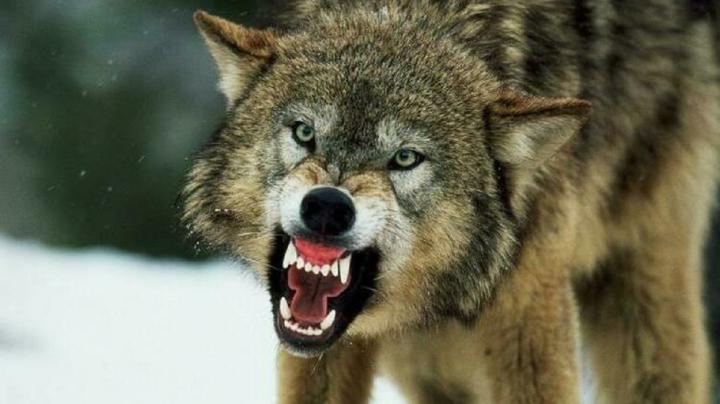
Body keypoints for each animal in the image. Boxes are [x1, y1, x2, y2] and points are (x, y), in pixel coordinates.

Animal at [182, 0, 720, 402]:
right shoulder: (320, 347)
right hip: (422, 361)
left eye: (405, 158)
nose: (328, 207)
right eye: (304, 132)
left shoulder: (528, 314)